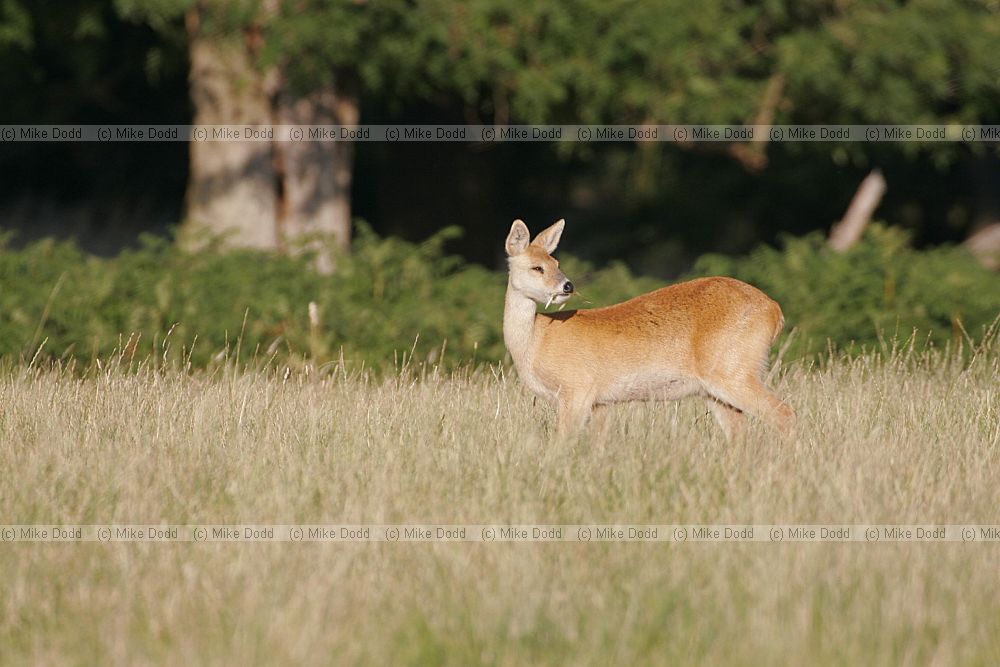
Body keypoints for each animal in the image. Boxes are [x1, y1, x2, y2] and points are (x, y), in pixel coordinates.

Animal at [503, 218, 795, 439]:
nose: (567, 286)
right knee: (740, 432)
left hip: (734, 370)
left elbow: (562, 442)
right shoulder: (600, 402)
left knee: (785, 414)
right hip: (717, 387)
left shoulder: (578, 388)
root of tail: (775, 312)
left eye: (557, 264)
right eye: (538, 267)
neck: (535, 342)